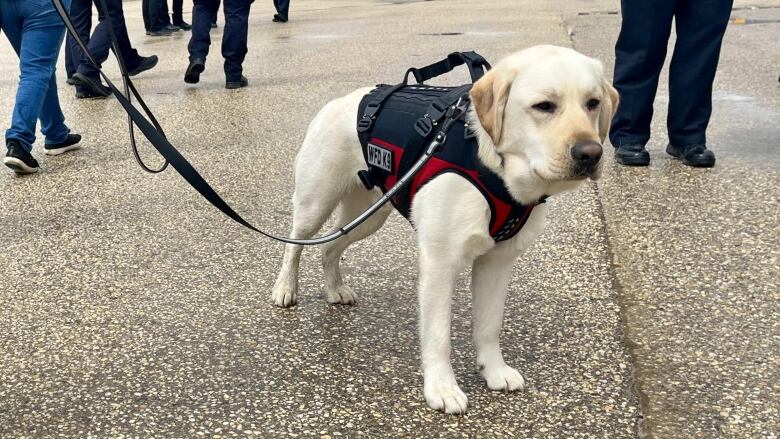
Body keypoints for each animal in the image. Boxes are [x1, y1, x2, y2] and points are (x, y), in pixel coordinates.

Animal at [272, 46, 620, 414]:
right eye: (544, 106)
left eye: (593, 103)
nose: (590, 153)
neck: (492, 166)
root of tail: (338, 101)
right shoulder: (440, 262)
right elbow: (439, 335)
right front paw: (441, 388)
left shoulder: (498, 262)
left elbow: (489, 326)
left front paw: (493, 370)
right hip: (315, 203)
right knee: (294, 244)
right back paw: (285, 288)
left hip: (369, 215)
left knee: (330, 247)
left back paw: (335, 288)